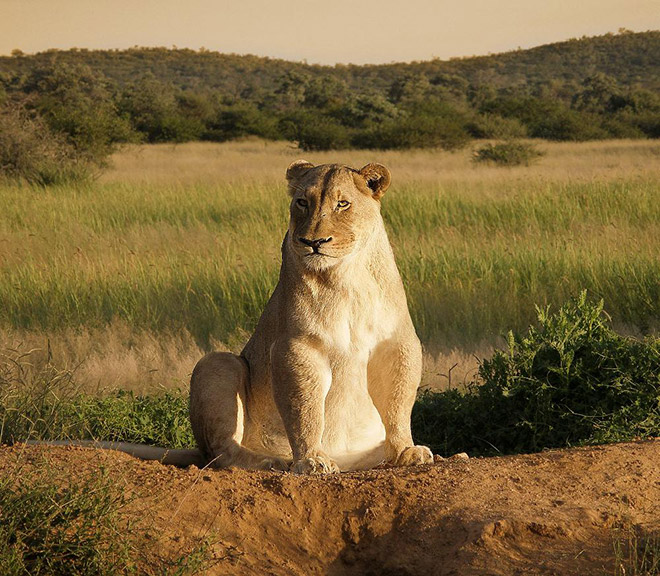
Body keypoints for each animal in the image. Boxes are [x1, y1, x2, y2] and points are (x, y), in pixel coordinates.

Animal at [188, 160, 433, 473]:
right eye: (303, 202)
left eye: (342, 204)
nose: (313, 241)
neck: (346, 278)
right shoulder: (296, 347)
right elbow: (304, 408)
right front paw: (311, 459)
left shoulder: (396, 342)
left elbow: (398, 401)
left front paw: (406, 451)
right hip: (217, 362)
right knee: (221, 452)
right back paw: (274, 461)